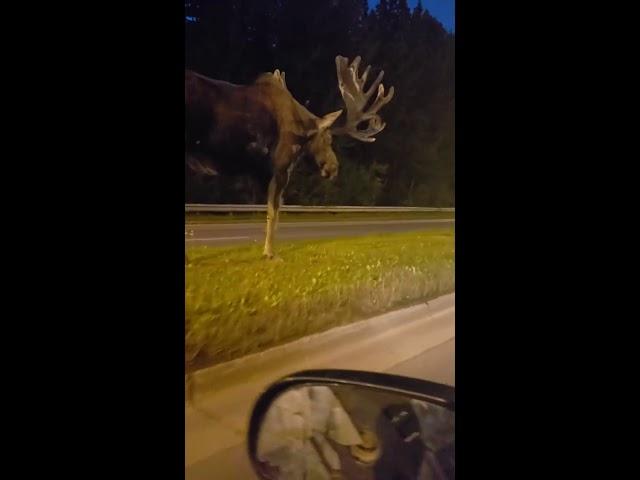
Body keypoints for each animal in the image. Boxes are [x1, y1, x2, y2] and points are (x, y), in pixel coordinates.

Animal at [185, 55, 396, 258]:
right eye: (328, 139)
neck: (302, 129)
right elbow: (274, 212)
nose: (334, 167)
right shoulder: (281, 166)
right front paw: (270, 253)